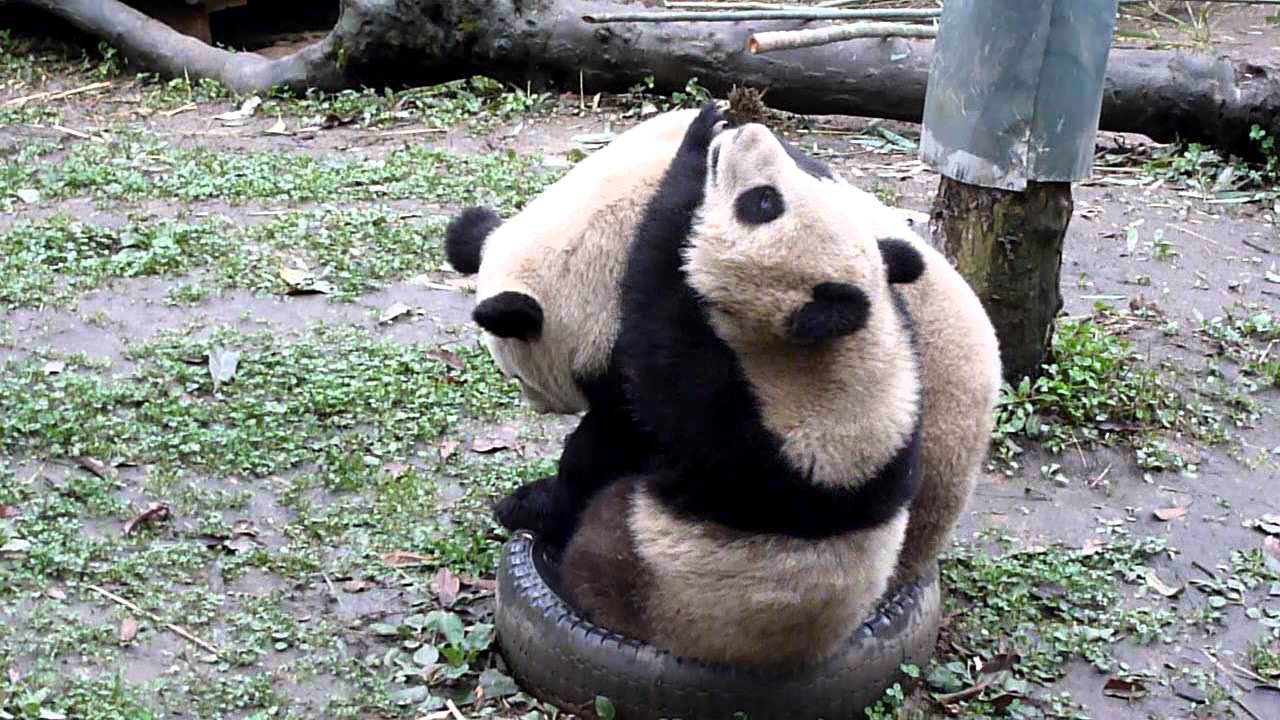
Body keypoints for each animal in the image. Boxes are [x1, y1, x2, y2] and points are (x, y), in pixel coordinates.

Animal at [555, 105, 927, 669]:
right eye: (810, 177)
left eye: (764, 202)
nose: (751, 131)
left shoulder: (746, 427)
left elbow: (651, 333)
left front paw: (694, 148)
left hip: (650, 567)